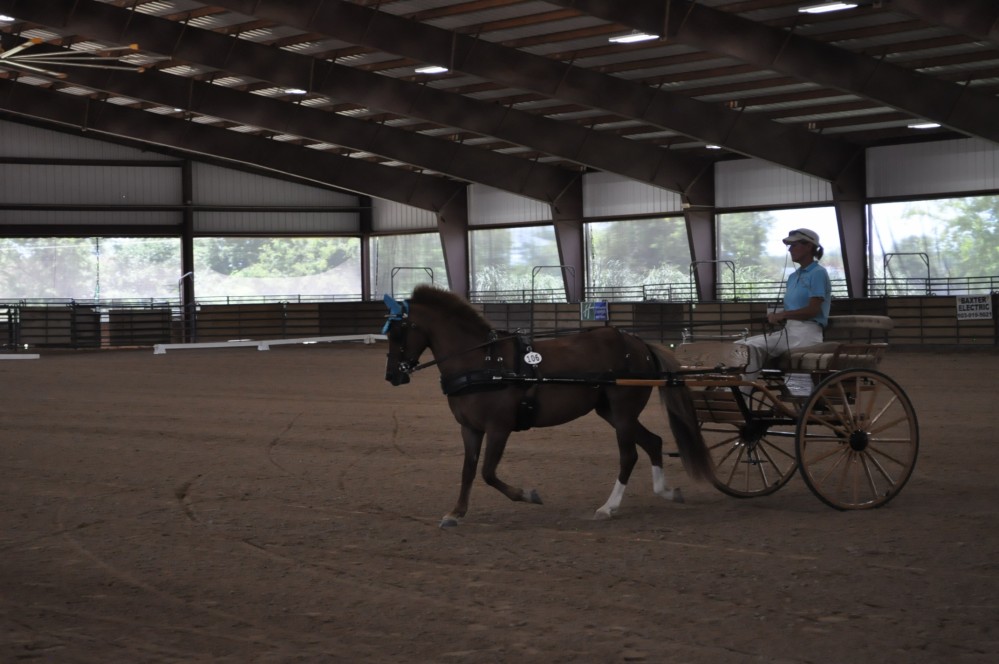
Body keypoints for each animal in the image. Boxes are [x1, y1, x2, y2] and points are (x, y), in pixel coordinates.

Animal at [380, 288, 712, 528]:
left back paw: (609, 507)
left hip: (622, 411)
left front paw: (528, 495)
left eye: (398, 332)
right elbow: (469, 471)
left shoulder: (498, 427)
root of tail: (640, 345)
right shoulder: (470, 429)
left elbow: (488, 472)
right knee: (653, 442)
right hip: (612, 413)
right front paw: (456, 513)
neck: (483, 362)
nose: (392, 376)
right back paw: (666, 492)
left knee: (629, 455)